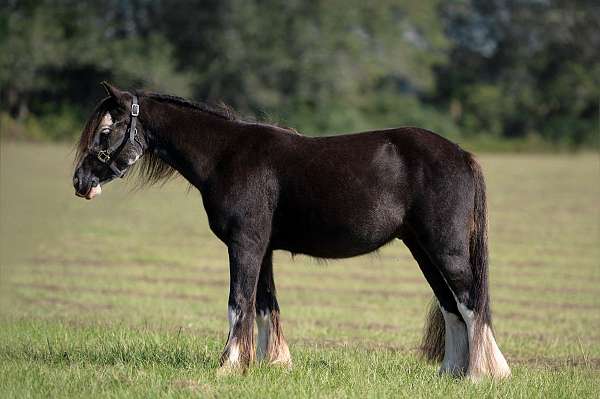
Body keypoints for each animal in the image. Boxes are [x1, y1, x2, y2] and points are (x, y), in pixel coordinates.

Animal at [71, 83, 510, 380]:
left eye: (106, 131)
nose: (80, 182)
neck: (226, 155)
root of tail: (462, 154)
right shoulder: (262, 248)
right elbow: (265, 305)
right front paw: (273, 363)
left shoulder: (245, 245)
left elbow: (238, 302)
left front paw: (228, 365)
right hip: (423, 250)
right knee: (451, 306)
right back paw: (452, 373)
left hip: (446, 249)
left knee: (471, 302)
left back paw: (481, 374)